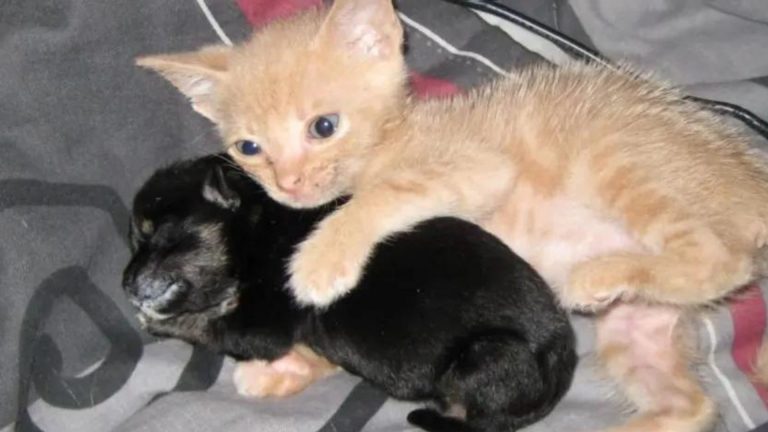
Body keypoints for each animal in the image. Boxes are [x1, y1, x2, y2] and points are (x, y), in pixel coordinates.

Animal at [121, 155, 576, 432]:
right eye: (135, 239)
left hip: (488, 355)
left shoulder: (263, 328)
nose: (124, 284)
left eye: (159, 237)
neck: (258, 225)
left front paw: (157, 320)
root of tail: (562, 365)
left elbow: (206, 324)